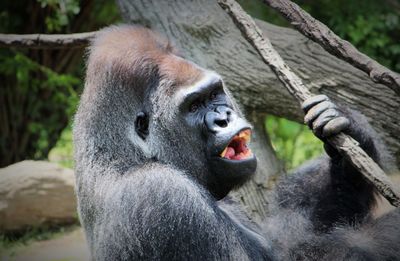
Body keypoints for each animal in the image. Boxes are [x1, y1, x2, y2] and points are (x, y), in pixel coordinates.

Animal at [72, 24, 400, 260]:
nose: (224, 117)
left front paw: (348, 128)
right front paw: (387, 236)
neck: (124, 154)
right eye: (194, 106)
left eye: (214, 93)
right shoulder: (161, 196)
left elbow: (281, 231)